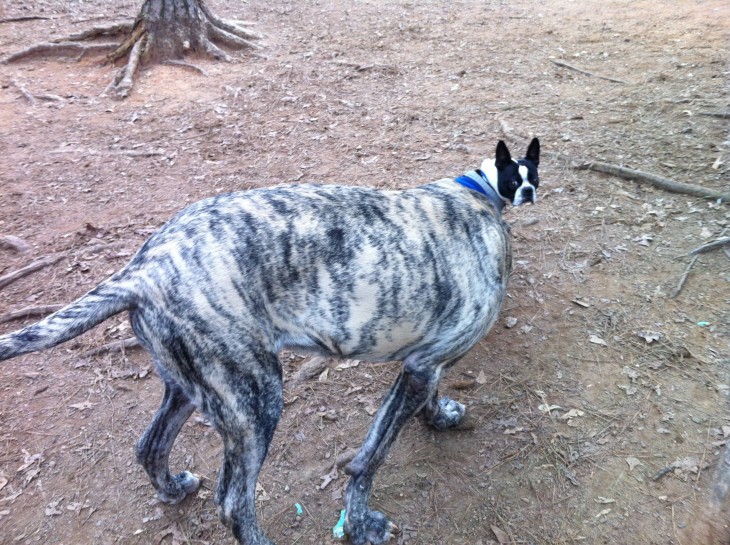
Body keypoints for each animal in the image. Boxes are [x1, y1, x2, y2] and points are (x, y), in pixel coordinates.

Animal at [0, 138, 536, 540]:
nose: (528, 191)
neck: (477, 195)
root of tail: (142, 271)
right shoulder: (419, 370)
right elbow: (369, 460)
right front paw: (360, 524)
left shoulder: (424, 365)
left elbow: (429, 396)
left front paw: (439, 416)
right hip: (256, 402)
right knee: (234, 504)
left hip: (193, 388)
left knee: (149, 446)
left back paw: (172, 488)